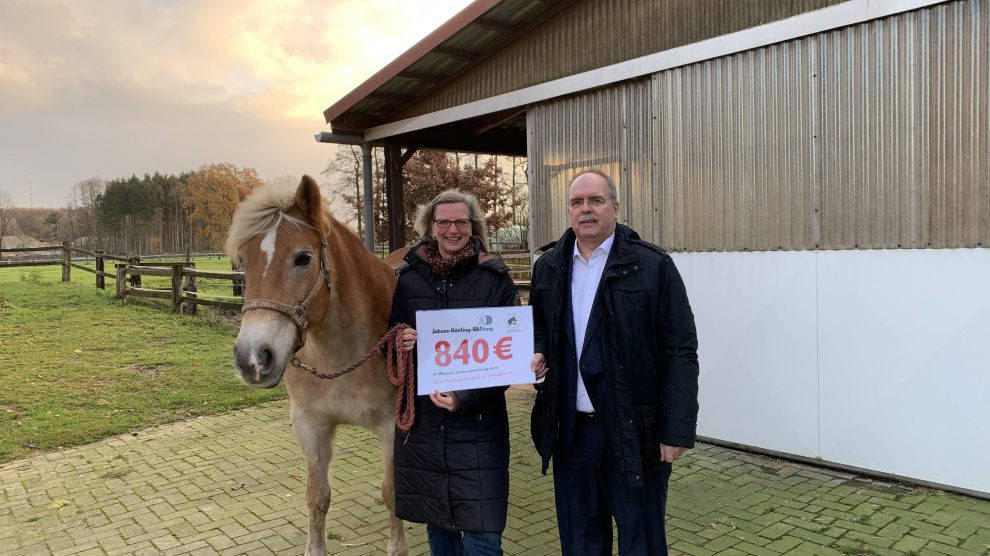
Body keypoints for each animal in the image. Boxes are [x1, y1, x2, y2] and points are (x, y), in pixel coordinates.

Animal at [227, 177, 408, 556]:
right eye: (243, 262)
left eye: (303, 258)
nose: (252, 358)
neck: (341, 354)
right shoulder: (310, 425)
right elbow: (317, 497)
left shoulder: (391, 426)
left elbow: (392, 494)